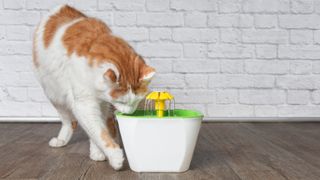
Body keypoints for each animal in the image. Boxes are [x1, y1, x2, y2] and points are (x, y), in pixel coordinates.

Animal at [33, 4, 156, 170]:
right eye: (122, 101)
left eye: (136, 101)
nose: (130, 113)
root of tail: (62, 7)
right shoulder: (84, 104)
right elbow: (98, 131)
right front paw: (115, 157)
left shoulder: (103, 103)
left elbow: (99, 128)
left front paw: (97, 152)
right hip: (54, 94)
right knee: (69, 121)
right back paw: (61, 140)